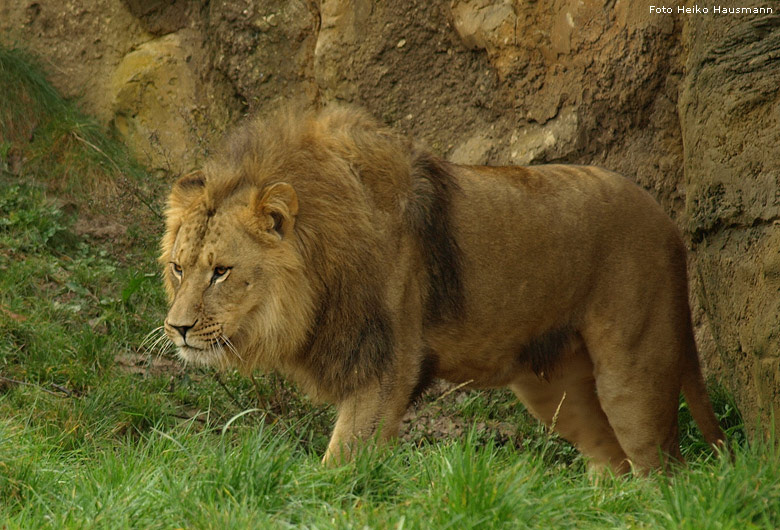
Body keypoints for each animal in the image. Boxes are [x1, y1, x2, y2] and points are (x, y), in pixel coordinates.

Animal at [158, 106, 724, 470]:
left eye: (221, 271)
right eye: (179, 269)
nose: (177, 328)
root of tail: (668, 221)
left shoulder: (388, 365)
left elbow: (339, 465)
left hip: (635, 370)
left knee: (662, 471)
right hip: (557, 389)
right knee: (614, 464)